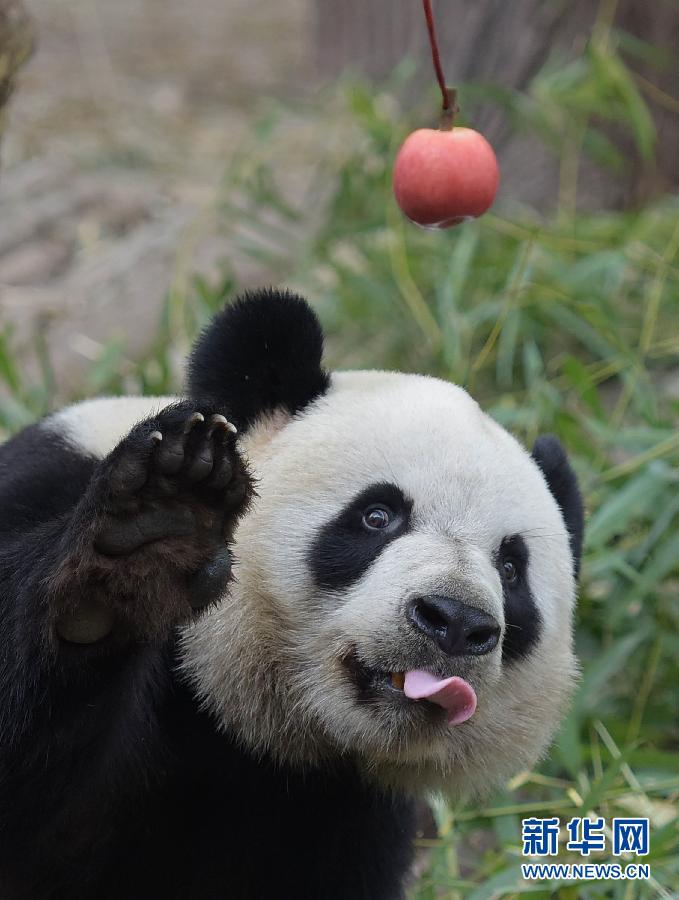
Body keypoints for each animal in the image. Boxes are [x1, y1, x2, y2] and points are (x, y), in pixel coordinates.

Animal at [0, 290, 584, 900]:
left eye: (511, 568)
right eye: (378, 515)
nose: (454, 621)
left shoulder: (338, 812)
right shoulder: (45, 484)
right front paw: (145, 542)